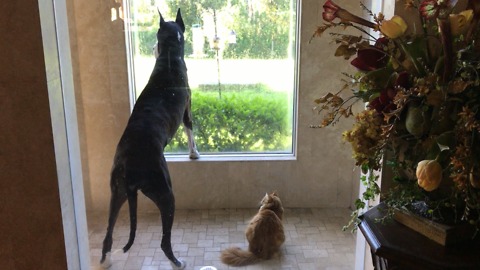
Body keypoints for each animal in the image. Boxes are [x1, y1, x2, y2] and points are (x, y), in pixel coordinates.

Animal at [101, 9, 199, 268]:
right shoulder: (187, 110)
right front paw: (194, 153)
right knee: (164, 242)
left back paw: (105, 260)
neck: (169, 57)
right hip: (165, 193)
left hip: (117, 193)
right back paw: (177, 262)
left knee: (108, 235)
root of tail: (128, 165)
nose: (153, 47)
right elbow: (190, 130)